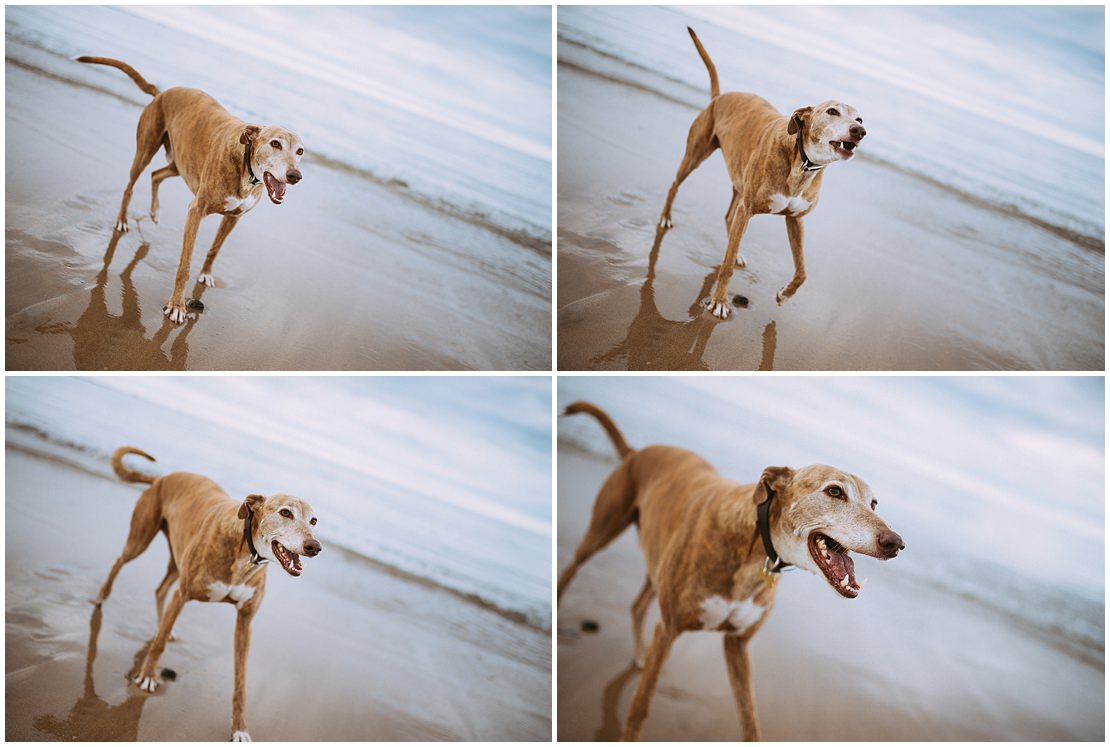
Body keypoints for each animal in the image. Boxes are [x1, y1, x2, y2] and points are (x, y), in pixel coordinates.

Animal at [76, 56, 304, 324]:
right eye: (275, 143)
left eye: (300, 151)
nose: (295, 176)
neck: (245, 165)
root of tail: (162, 93)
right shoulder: (196, 211)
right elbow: (184, 266)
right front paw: (177, 306)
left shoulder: (233, 218)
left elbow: (214, 249)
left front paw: (205, 274)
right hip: (146, 150)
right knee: (130, 185)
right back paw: (122, 220)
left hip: (179, 163)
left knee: (156, 175)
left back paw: (154, 212)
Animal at [94, 443, 321, 741]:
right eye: (285, 513)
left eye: (314, 520)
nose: (314, 547)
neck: (244, 550)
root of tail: (162, 478)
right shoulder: (184, 594)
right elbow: (158, 645)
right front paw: (148, 676)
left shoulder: (245, 622)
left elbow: (240, 683)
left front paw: (240, 728)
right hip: (140, 538)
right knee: (120, 562)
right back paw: (102, 597)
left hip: (176, 558)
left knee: (161, 589)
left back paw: (162, 625)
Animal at [555, 401, 901, 741]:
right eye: (834, 491)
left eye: (874, 503)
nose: (895, 543)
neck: (753, 546)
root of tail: (636, 452)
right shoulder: (669, 629)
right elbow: (640, 710)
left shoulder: (738, 646)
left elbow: (750, 723)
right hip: (602, 530)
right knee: (571, 570)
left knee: (638, 604)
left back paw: (639, 652)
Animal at [657, 26, 865, 315]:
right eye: (832, 111)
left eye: (860, 118)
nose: (860, 131)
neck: (801, 163)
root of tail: (719, 96)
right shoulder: (749, 207)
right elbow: (726, 265)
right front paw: (720, 301)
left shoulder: (795, 220)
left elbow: (803, 271)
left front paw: (784, 294)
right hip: (695, 155)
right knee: (675, 186)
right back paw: (666, 218)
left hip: (738, 180)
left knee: (729, 217)